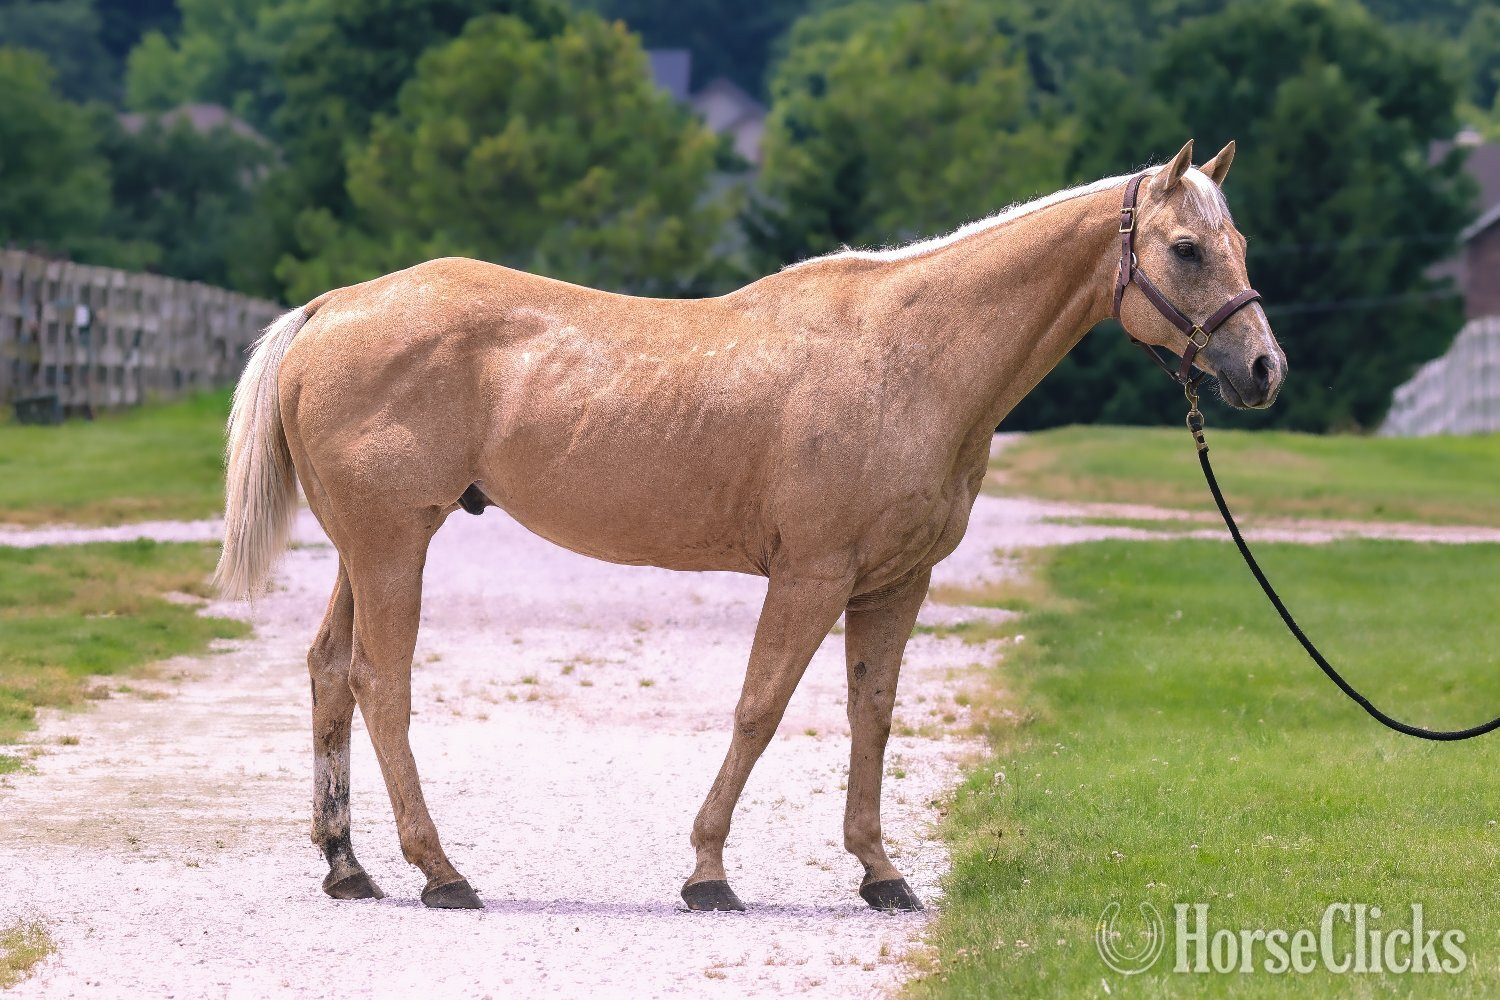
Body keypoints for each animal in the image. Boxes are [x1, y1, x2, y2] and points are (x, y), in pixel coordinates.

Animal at [215, 139, 1285, 912]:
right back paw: (441, 873)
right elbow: (760, 709)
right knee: (379, 684)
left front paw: (881, 873)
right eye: (1186, 249)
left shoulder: (895, 583)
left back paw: (349, 868)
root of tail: (333, 308)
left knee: (328, 672)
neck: (908, 356)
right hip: (395, 547)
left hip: (366, 550)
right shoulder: (811, 577)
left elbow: (871, 712)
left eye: (1238, 246)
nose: (1264, 368)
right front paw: (708, 875)